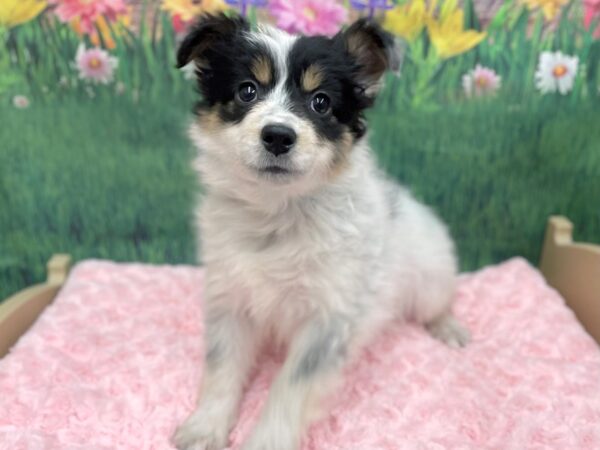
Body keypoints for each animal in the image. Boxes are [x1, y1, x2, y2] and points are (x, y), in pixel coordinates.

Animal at [172, 14, 468, 450]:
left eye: (321, 102)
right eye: (247, 90)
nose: (278, 136)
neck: (277, 214)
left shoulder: (327, 320)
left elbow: (289, 388)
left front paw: (267, 442)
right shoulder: (230, 298)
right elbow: (221, 366)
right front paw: (205, 427)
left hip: (430, 277)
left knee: (438, 304)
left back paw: (449, 328)